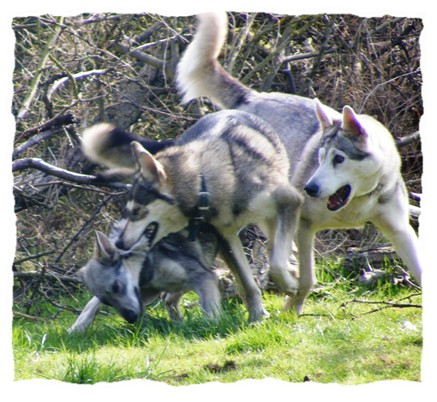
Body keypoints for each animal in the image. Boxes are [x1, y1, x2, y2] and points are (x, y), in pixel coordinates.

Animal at [69, 220, 220, 332]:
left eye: (116, 286)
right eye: (108, 302)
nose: (131, 318)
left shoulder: (202, 276)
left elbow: (209, 308)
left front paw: (211, 324)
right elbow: (92, 304)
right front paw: (77, 327)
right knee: (169, 298)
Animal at [82, 110, 304, 324]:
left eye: (136, 211)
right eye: (127, 212)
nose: (118, 243)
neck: (206, 184)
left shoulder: (291, 201)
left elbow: (276, 264)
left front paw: (288, 285)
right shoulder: (225, 237)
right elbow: (248, 283)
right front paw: (257, 315)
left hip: (271, 218)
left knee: (280, 247)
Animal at [175, 11, 422, 314]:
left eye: (338, 159)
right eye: (319, 158)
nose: (310, 189)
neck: (356, 204)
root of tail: (252, 97)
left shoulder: (400, 230)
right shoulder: (304, 225)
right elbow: (307, 278)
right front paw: (292, 306)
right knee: (274, 253)